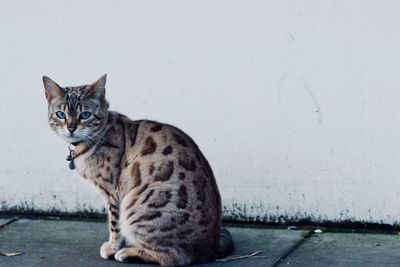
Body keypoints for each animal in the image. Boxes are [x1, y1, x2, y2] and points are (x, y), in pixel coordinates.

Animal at [43, 74, 234, 266]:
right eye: (61, 114)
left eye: (85, 115)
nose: (71, 128)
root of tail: (213, 245)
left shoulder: (113, 194)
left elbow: (114, 225)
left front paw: (113, 247)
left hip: (137, 208)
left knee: (174, 256)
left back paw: (128, 252)